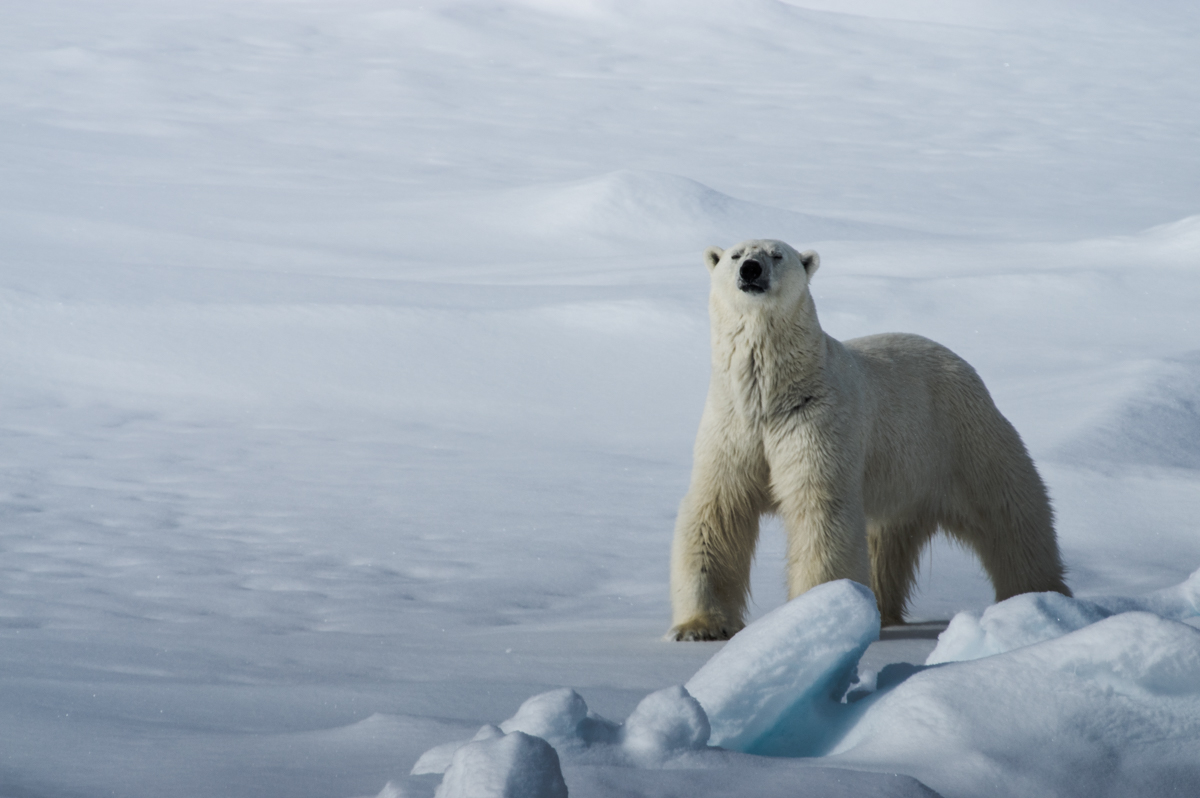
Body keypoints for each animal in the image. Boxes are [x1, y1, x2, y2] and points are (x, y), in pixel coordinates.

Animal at [672, 237, 1075, 643]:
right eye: (736, 255)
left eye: (776, 254)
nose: (751, 270)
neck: (770, 396)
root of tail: (961, 362)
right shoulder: (733, 427)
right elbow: (718, 512)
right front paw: (700, 626)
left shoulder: (815, 422)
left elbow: (820, 509)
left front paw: (816, 611)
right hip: (902, 476)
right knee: (885, 539)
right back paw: (881, 607)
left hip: (960, 436)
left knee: (1009, 510)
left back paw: (1037, 594)